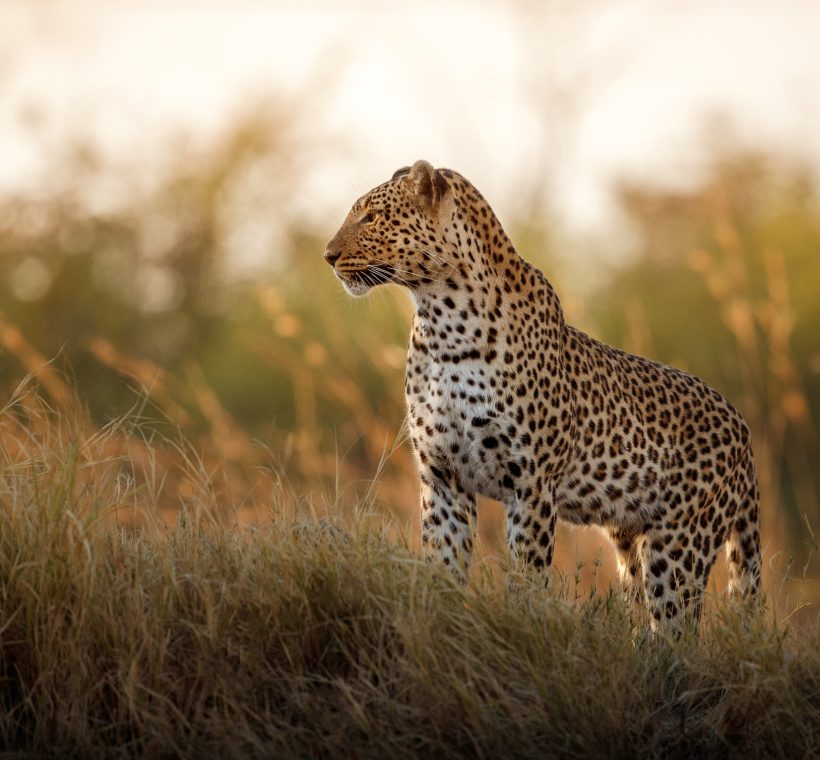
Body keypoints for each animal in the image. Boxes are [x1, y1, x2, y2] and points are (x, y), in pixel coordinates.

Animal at [324, 159, 761, 629]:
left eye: (371, 217)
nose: (328, 255)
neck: (442, 321)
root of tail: (742, 427)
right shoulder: (443, 477)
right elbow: (442, 569)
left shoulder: (530, 484)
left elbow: (527, 577)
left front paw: (520, 624)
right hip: (631, 542)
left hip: (680, 545)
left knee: (676, 628)